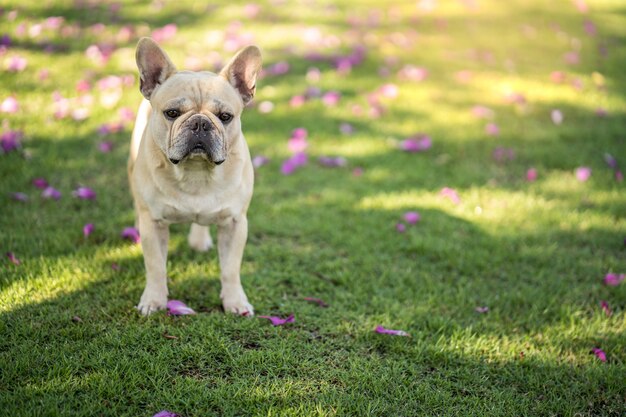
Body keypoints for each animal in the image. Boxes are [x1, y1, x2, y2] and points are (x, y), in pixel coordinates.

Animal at [129, 37, 260, 316]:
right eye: (171, 113)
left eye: (225, 117)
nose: (200, 123)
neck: (196, 173)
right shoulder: (154, 223)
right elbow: (155, 267)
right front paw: (153, 300)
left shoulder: (235, 223)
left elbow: (231, 269)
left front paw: (235, 301)